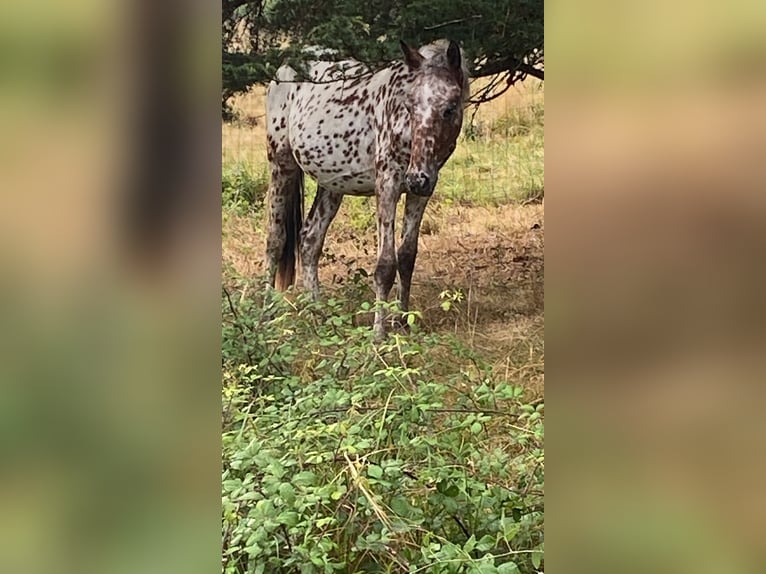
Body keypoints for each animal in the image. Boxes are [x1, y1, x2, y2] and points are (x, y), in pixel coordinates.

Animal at [266, 39, 468, 338]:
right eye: (410, 106)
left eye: (450, 107)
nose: (417, 179)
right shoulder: (388, 183)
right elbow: (385, 265)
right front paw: (379, 334)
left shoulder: (422, 190)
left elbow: (407, 256)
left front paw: (402, 322)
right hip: (282, 165)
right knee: (275, 240)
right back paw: (263, 313)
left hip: (331, 184)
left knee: (310, 239)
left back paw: (320, 315)